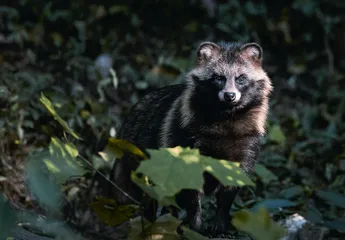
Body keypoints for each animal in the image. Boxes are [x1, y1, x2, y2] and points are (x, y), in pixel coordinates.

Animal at [111, 41, 272, 236]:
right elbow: (190, 190)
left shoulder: (247, 144)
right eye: (218, 78)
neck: (226, 115)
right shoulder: (184, 139)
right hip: (141, 156)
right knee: (151, 193)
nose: (230, 95)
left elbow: (230, 188)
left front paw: (221, 222)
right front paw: (195, 225)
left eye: (241, 78)